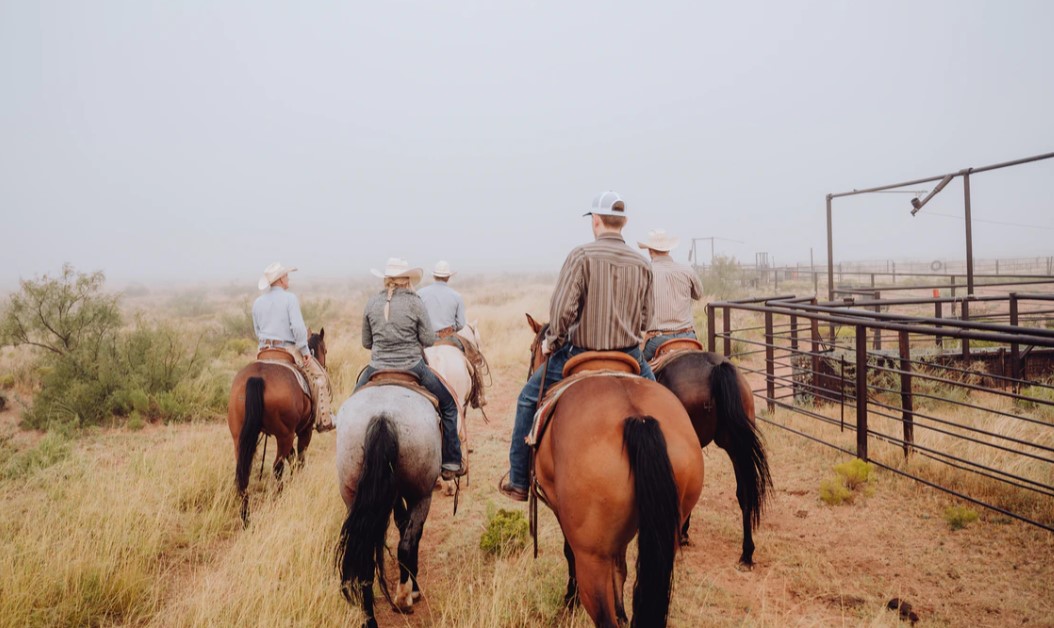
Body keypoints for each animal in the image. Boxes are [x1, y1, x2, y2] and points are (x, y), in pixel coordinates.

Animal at [227, 328, 326, 524]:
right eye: (325, 350)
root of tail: (257, 377)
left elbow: (293, 458)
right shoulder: (304, 431)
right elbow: (300, 458)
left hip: (239, 438)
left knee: (243, 473)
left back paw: (245, 518)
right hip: (284, 436)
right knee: (277, 468)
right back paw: (277, 500)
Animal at [335, 385, 438, 623]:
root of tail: (383, 416)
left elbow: (401, 523)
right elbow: (410, 533)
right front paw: (414, 590)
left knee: (365, 563)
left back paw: (369, 619)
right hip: (422, 494)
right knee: (406, 545)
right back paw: (403, 598)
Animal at [524, 316, 704, 623]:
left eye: (533, 349)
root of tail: (638, 418)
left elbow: (569, 552)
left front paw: (569, 601)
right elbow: (620, 571)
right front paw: (622, 609)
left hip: (592, 558)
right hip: (667, 536)